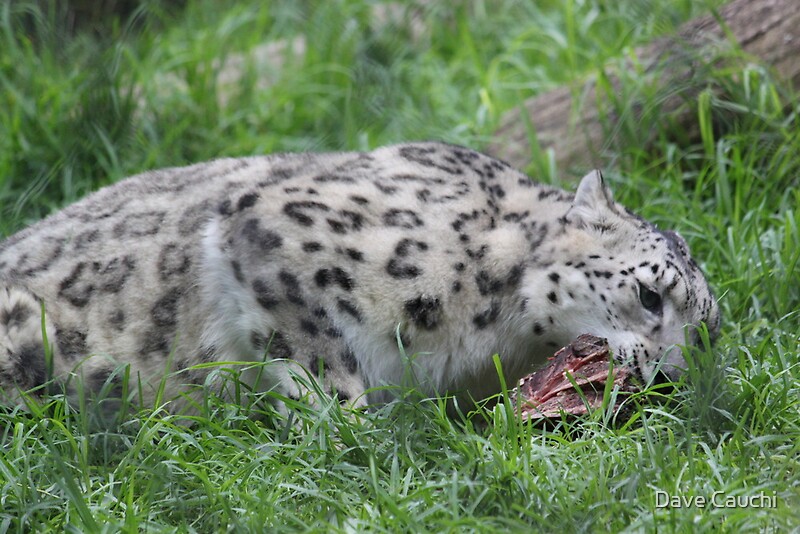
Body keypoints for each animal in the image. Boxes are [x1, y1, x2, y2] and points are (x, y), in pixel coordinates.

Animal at [0, 142, 720, 415]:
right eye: (649, 294)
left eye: (706, 334)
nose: (670, 377)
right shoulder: (276, 235)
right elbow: (324, 367)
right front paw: (355, 442)